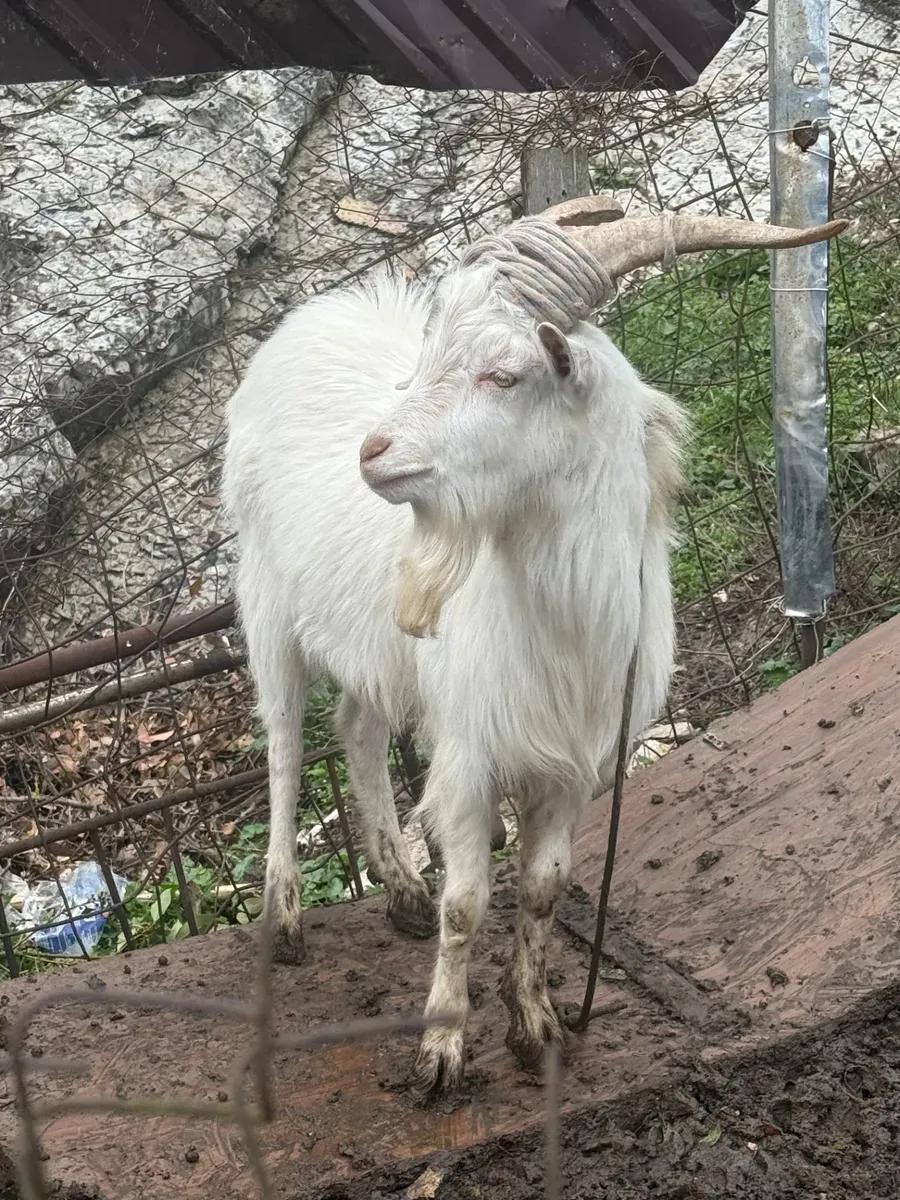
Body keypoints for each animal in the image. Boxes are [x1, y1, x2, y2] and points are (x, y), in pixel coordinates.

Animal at [222, 197, 846, 1089]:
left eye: (503, 374)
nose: (373, 453)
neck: (565, 617)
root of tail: (310, 320)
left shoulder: (577, 761)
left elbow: (546, 887)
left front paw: (537, 1024)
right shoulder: (471, 752)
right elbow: (469, 901)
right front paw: (441, 1049)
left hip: (374, 642)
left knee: (358, 729)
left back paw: (399, 889)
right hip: (266, 602)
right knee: (282, 744)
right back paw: (287, 918)